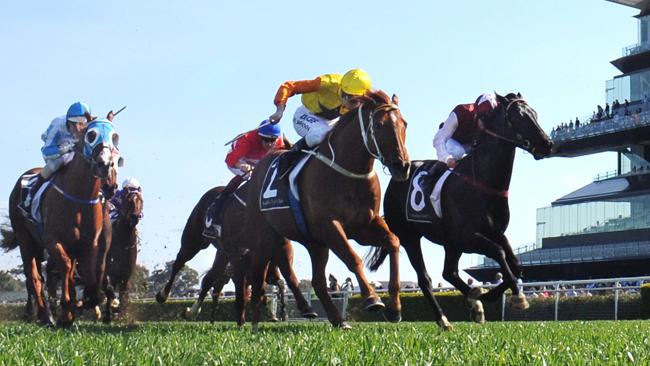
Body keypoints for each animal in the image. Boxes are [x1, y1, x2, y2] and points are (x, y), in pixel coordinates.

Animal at [0, 118, 119, 328]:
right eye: (91, 135)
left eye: (114, 137)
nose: (104, 164)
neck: (79, 197)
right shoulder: (53, 241)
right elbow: (65, 267)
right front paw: (67, 312)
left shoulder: (91, 245)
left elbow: (91, 280)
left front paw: (81, 305)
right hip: (26, 240)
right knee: (35, 278)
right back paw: (44, 315)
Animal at [102, 187, 143, 322]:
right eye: (129, 200)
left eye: (141, 200)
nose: (135, 216)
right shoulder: (106, 270)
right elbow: (108, 289)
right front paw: (109, 314)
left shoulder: (126, 274)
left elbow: (124, 294)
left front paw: (123, 316)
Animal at [153, 186, 312, 324]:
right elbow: (243, 291)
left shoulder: (278, 255)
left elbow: (288, 279)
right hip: (194, 241)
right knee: (179, 263)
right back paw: (164, 296)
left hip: (222, 255)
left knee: (209, 280)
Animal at [243, 90, 410, 330]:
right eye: (379, 126)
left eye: (404, 123)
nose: (402, 166)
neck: (348, 172)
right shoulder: (330, 226)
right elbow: (353, 259)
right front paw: (372, 298)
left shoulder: (363, 227)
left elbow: (393, 241)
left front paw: (394, 308)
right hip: (264, 234)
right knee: (258, 274)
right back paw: (255, 322)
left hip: (313, 243)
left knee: (317, 281)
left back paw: (337, 319)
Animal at [368, 93, 548, 328]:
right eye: (519, 116)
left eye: (535, 114)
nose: (547, 144)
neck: (483, 183)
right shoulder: (467, 237)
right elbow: (498, 252)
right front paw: (512, 297)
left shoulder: (495, 232)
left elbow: (516, 265)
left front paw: (488, 294)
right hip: (410, 237)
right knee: (425, 278)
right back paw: (443, 318)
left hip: (449, 243)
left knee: (449, 272)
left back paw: (475, 301)